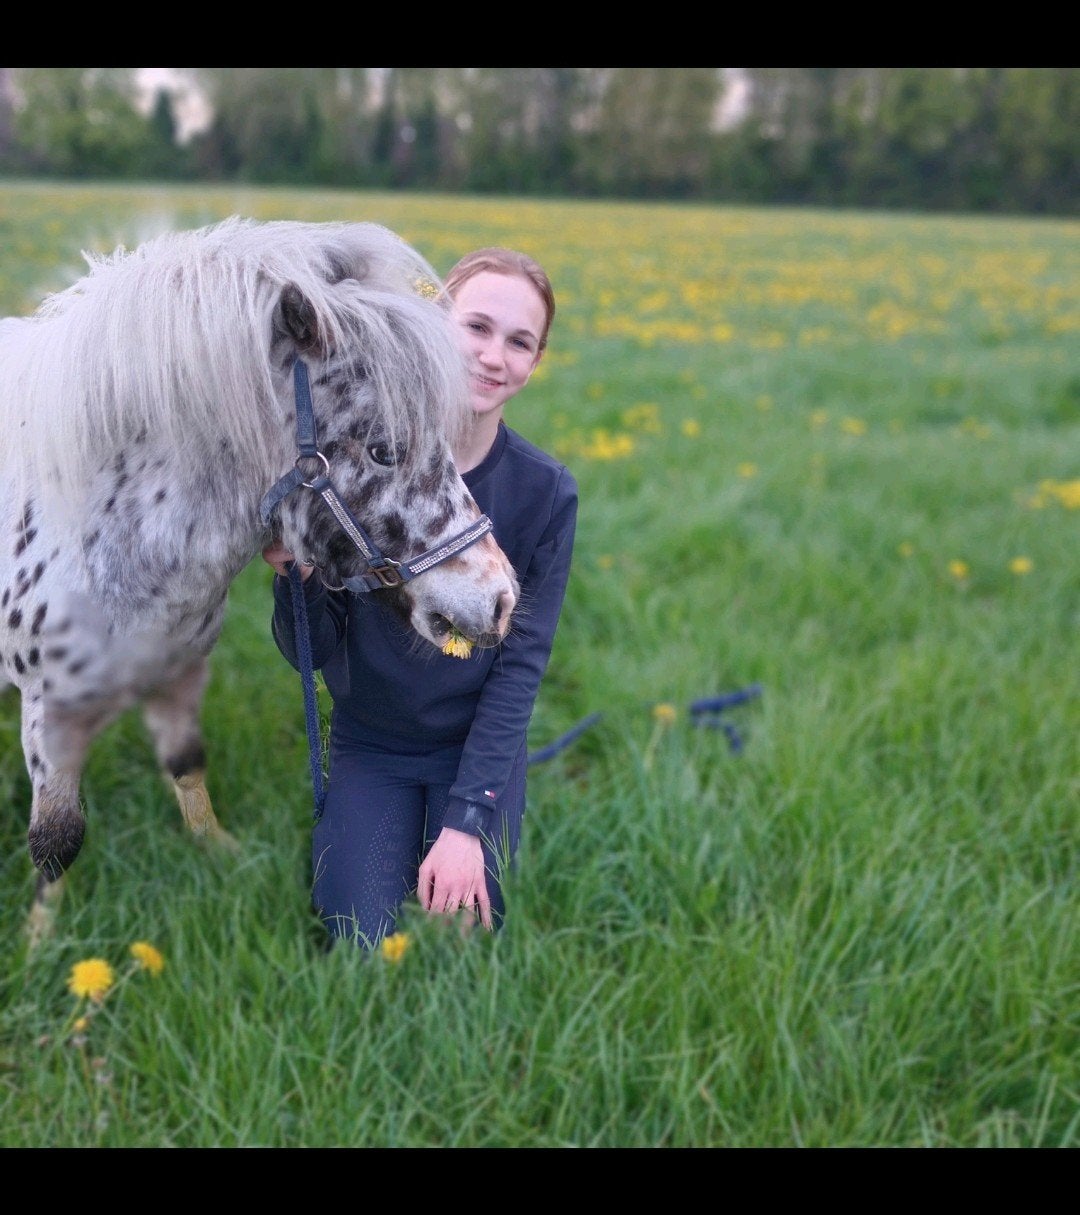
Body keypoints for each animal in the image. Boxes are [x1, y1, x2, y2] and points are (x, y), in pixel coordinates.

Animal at [0, 216, 519, 944]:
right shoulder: (50, 705)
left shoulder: (178, 671)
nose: (499, 599)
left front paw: (222, 855)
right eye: (384, 449)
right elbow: (56, 836)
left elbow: (187, 765)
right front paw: (41, 941)